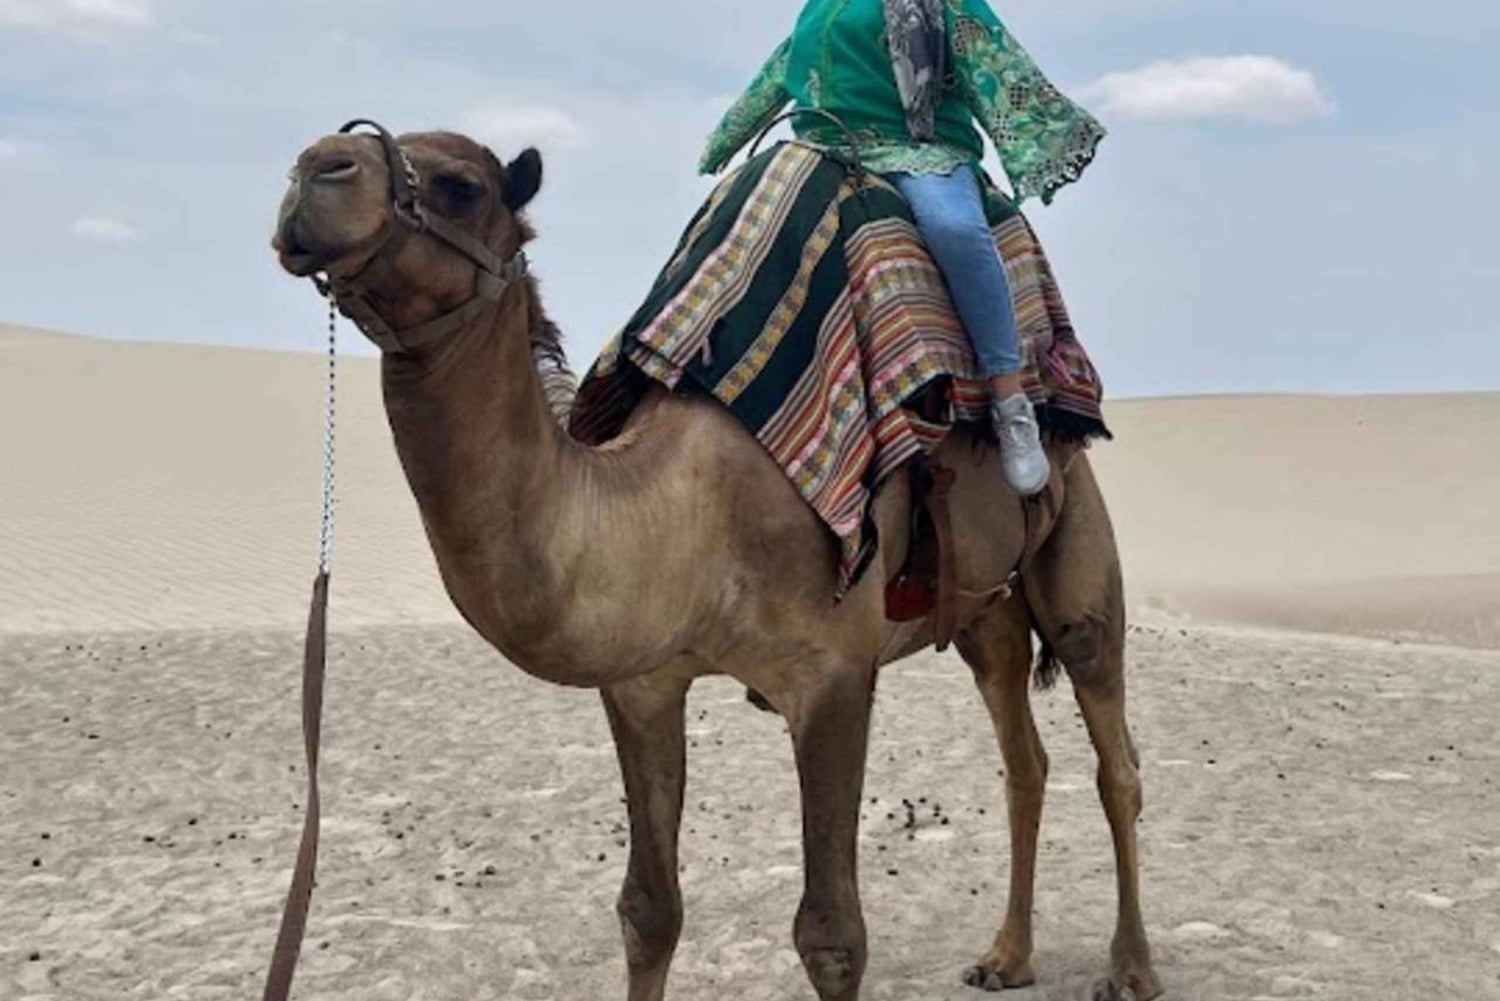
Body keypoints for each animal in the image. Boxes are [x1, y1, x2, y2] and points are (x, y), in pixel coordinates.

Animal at [271, 123, 1162, 1001]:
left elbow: (832, 936)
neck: (685, 507)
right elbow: (648, 909)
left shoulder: (833, 677)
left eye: (461, 185)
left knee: (1114, 754)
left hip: (1078, 545)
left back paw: (1131, 967)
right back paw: (1006, 957)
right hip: (985, 611)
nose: (315, 167)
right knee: (1025, 758)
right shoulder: (640, 684)